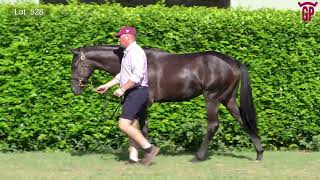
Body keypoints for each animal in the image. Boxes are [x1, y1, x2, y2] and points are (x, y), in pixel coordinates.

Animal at [71, 44, 264, 160]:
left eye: (75, 65)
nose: (75, 89)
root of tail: (233, 62)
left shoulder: (144, 103)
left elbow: (142, 128)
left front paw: (147, 152)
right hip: (228, 98)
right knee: (243, 120)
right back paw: (259, 153)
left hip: (212, 97)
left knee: (213, 125)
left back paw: (198, 157)